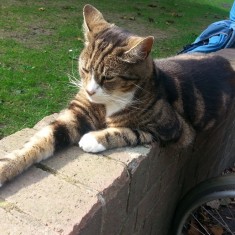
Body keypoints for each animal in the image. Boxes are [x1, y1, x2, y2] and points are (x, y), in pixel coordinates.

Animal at [0, 4, 235, 186]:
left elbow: (130, 132)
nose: (90, 90)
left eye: (108, 78)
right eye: (85, 69)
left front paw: (93, 139)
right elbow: (42, 139)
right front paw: (7, 166)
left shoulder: (176, 129)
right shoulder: (79, 111)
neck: (107, 103)